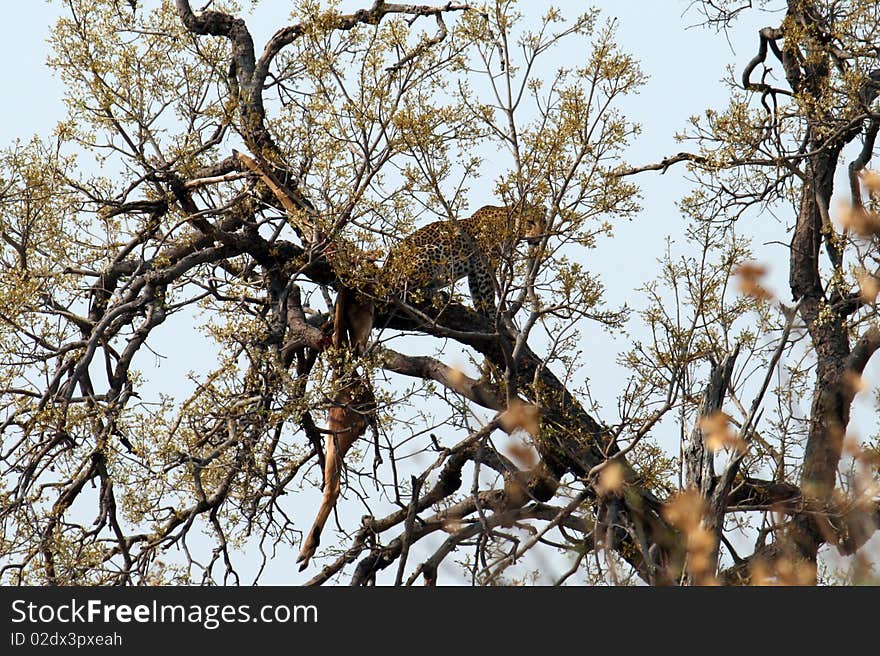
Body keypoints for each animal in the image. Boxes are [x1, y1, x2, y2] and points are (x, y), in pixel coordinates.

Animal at [384, 204, 544, 314]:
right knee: (403, 290)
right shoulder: (484, 264)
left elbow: (477, 294)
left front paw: (483, 314)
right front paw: (495, 317)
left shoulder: (474, 270)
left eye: (543, 222)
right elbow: (488, 293)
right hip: (432, 252)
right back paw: (438, 295)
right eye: (530, 222)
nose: (540, 237)